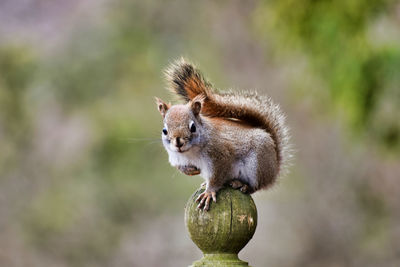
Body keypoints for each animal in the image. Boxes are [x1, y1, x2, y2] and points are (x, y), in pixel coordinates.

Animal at [155, 58, 290, 211]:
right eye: (164, 131)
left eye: (193, 127)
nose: (178, 142)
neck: (190, 153)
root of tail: (274, 169)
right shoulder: (176, 158)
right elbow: (181, 167)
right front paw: (191, 170)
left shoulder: (220, 157)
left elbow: (217, 177)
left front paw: (209, 192)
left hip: (257, 165)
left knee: (256, 186)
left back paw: (241, 185)